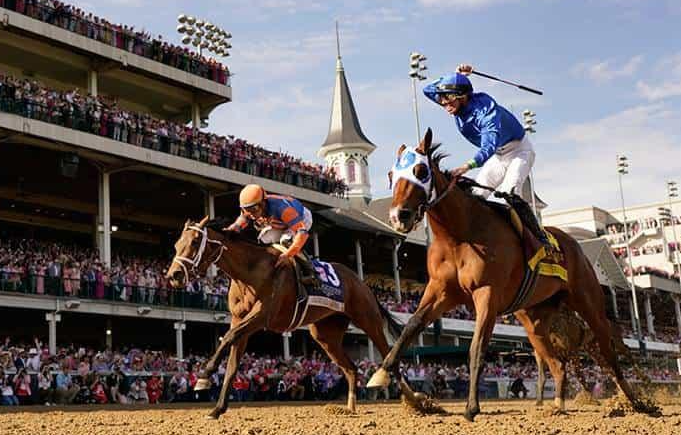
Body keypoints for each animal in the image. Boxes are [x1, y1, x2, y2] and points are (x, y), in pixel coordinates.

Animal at [167, 217, 418, 418]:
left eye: (193, 243)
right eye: (177, 244)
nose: (173, 275)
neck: (250, 270)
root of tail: (362, 282)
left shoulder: (262, 315)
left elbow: (227, 337)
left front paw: (204, 375)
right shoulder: (241, 320)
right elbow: (232, 364)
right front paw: (218, 408)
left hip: (368, 320)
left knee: (389, 355)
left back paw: (414, 401)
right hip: (326, 335)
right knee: (351, 368)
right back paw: (349, 408)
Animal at [370, 129, 640, 422]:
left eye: (420, 171)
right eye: (390, 175)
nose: (399, 216)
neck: (459, 234)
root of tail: (573, 244)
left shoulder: (486, 293)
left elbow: (477, 348)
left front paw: (471, 407)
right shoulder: (441, 291)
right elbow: (411, 326)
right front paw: (381, 373)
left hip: (588, 302)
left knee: (608, 351)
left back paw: (636, 402)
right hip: (535, 321)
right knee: (557, 363)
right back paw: (557, 405)